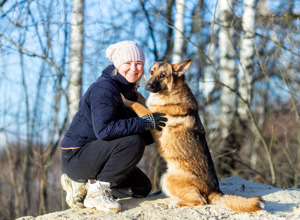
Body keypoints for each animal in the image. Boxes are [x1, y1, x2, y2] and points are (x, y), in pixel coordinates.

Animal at [123, 58, 264, 213]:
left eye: (163, 75)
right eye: (152, 71)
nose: (147, 86)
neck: (172, 90)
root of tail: (214, 191)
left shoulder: (150, 114)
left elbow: (136, 104)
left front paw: (124, 98)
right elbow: (141, 100)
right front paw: (134, 93)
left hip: (167, 178)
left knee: (201, 201)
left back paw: (176, 203)